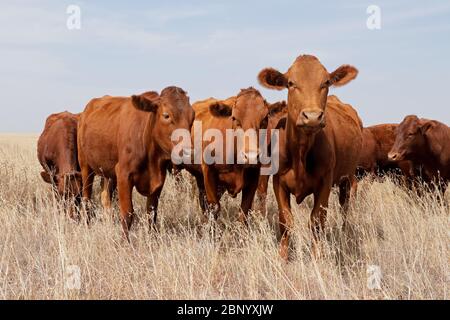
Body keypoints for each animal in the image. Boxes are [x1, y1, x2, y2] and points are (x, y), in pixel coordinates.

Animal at [78, 87, 194, 238]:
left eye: (193, 116)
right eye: (166, 115)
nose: (187, 151)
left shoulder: (158, 180)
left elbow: (151, 213)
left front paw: (152, 238)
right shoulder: (123, 174)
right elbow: (127, 213)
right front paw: (125, 242)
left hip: (107, 173)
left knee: (105, 198)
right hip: (86, 167)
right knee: (86, 199)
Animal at [186, 87, 270, 222]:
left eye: (265, 118)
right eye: (234, 118)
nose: (251, 156)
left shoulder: (253, 178)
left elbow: (244, 211)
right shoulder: (208, 173)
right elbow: (213, 207)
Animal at [256, 55, 362, 260]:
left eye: (326, 82)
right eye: (290, 83)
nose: (312, 117)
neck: (301, 153)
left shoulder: (325, 183)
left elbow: (317, 221)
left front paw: (316, 258)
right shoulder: (278, 182)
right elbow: (286, 221)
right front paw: (282, 258)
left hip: (348, 178)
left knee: (345, 207)